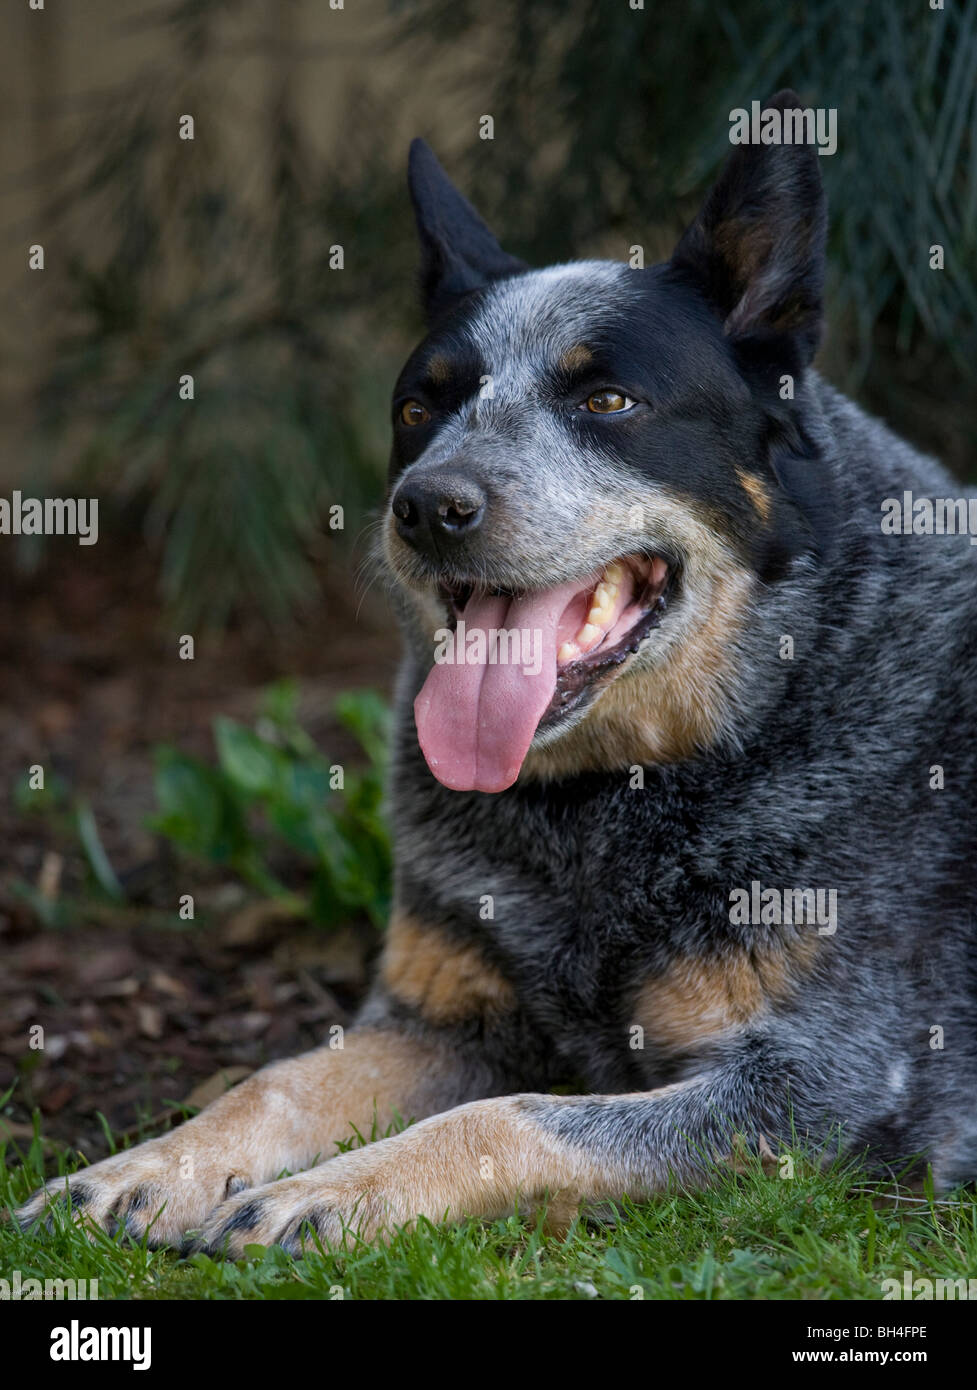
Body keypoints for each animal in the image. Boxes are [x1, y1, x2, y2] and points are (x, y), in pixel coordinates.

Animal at [17, 92, 977, 1256]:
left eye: (608, 400)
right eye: (418, 408)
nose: (430, 506)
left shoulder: (821, 1087)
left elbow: (509, 1116)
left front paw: (327, 1194)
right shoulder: (440, 1017)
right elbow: (274, 1080)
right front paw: (143, 1169)